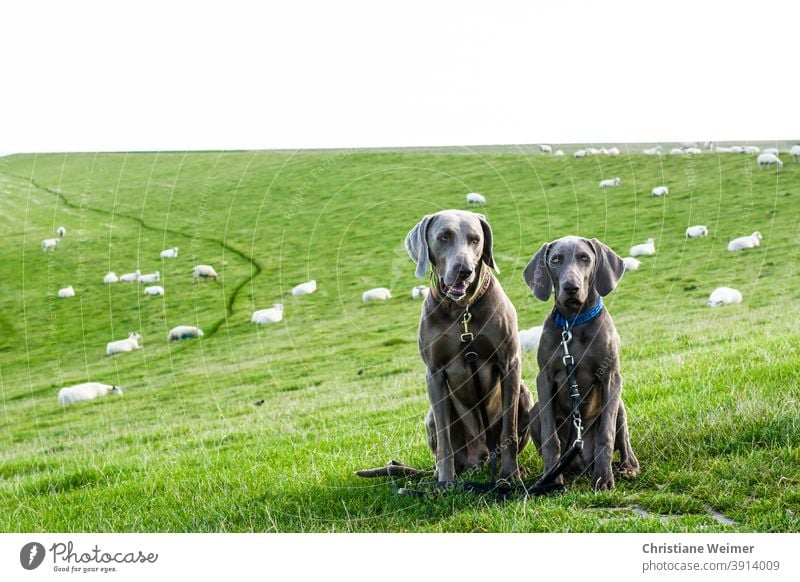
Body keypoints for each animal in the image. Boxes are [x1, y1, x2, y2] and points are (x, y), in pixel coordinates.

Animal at [404, 210, 536, 484]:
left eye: (475, 239)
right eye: (444, 237)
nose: (464, 271)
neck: (461, 311)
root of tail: (482, 457)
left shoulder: (509, 362)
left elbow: (509, 428)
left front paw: (510, 476)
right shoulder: (433, 372)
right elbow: (444, 436)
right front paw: (445, 482)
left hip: (525, 395)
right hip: (430, 416)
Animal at [520, 235, 640, 490]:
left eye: (585, 258)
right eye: (555, 260)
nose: (571, 288)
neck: (573, 323)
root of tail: (583, 463)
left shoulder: (611, 376)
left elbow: (606, 433)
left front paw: (603, 479)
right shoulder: (544, 378)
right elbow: (550, 438)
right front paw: (551, 480)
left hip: (620, 403)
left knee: (623, 440)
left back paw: (627, 468)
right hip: (534, 411)